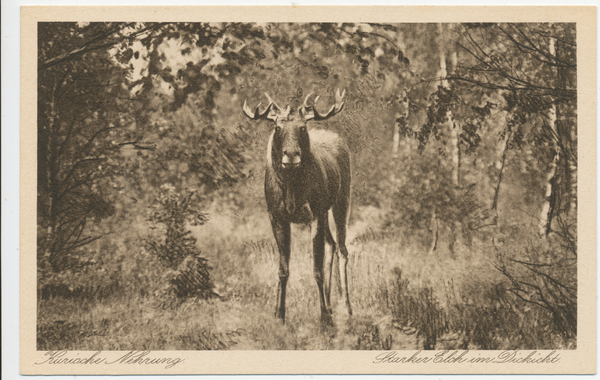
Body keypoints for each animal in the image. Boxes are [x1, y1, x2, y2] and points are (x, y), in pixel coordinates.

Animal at [243, 90, 352, 326]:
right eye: (277, 128)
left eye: (302, 127)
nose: (291, 155)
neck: (292, 190)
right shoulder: (276, 216)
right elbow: (283, 269)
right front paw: (279, 314)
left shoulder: (315, 213)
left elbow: (316, 269)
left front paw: (324, 318)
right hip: (326, 210)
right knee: (331, 244)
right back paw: (331, 304)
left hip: (342, 198)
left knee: (342, 248)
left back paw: (346, 308)